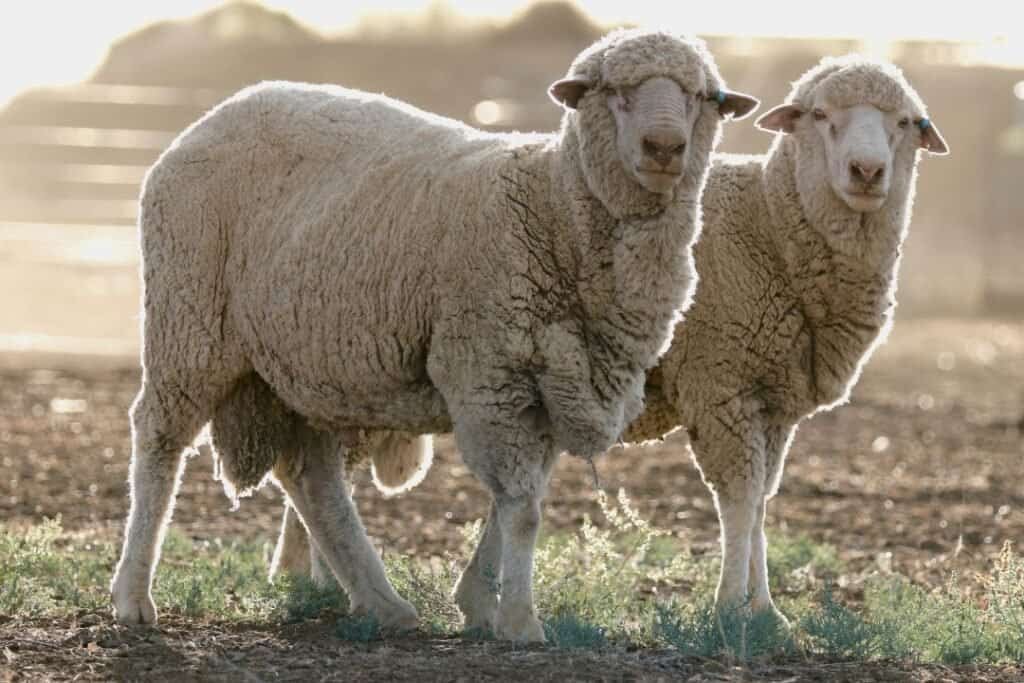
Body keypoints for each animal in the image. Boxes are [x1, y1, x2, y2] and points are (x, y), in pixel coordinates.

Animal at [108, 27, 759, 642]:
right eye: (615, 92)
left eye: (701, 97)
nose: (665, 148)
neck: (556, 206)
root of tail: (220, 112)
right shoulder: (491, 374)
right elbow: (522, 509)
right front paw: (519, 620)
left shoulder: (547, 386)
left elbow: (516, 501)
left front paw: (480, 602)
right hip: (190, 321)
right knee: (160, 438)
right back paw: (133, 596)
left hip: (302, 361)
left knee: (310, 475)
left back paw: (380, 601)